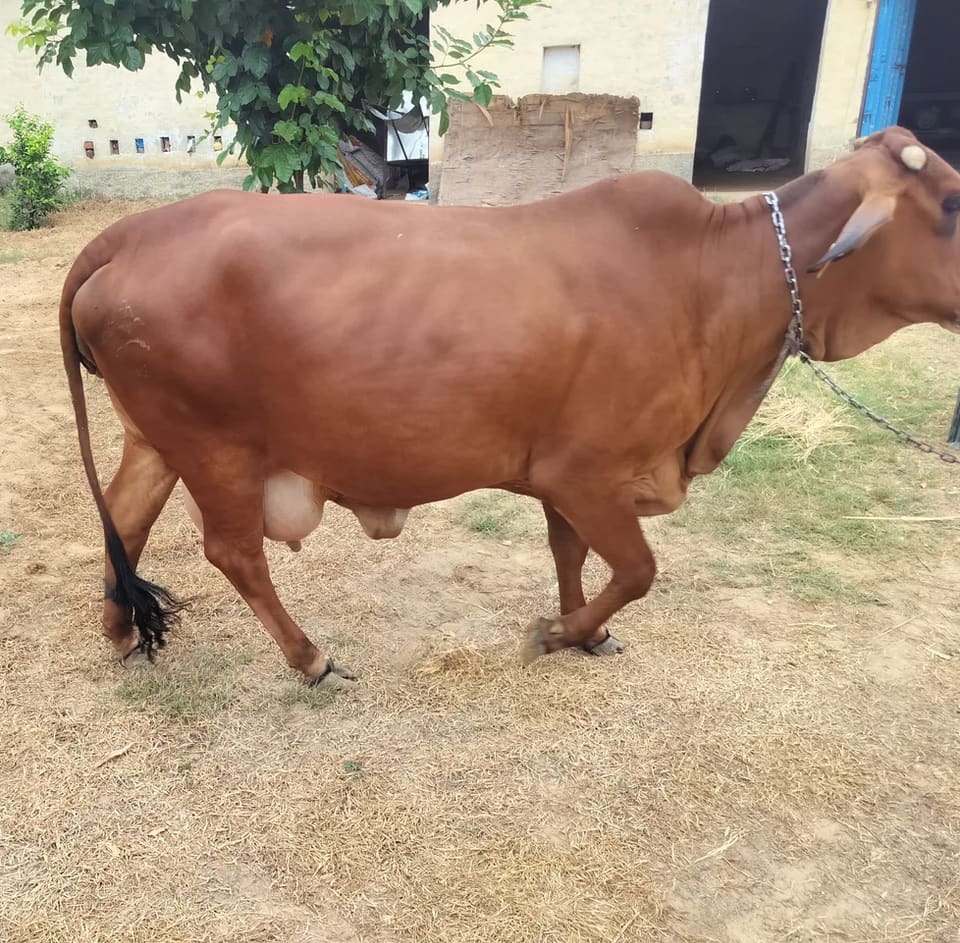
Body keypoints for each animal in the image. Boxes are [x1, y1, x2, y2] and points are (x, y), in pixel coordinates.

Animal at [60, 126, 960, 687]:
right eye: (950, 205)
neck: (712, 278)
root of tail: (131, 233)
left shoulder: (567, 481)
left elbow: (573, 556)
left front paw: (583, 630)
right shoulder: (588, 472)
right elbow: (637, 569)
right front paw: (559, 632)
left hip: (157, 441)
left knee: (125, 520)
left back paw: (119, 632)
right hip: (214, 450)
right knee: (233, 553)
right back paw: (310, 658)